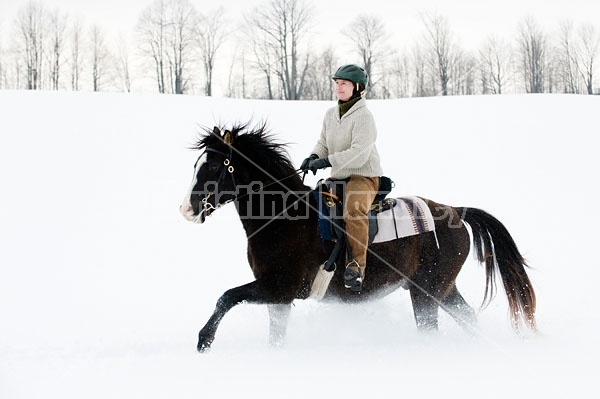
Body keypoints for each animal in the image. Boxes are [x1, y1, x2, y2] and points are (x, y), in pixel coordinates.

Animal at [180, 123, 536, 352]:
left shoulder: (279, 287)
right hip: (444, 289)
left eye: (213, 168)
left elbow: (226, 297)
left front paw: (204, 339)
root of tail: (456, 211)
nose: (188, 208)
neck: (285, 217)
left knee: (431, 328)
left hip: (428, 291)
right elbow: (273, 333)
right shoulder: (278, 296)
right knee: (468, 319)